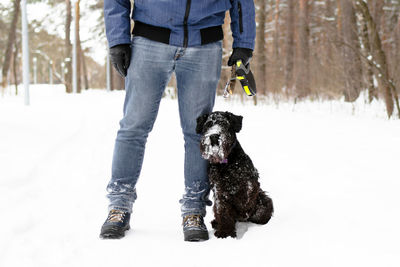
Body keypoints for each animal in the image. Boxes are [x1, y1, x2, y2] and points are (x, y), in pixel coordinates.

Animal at [197, 111, 276, 239]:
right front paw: (225, 232)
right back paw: (217, 223)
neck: (226, 163)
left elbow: (244, 198)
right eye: (208, 125)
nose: (214, 136)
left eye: (224, 123)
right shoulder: (219, 190)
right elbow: (222, 211)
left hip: (263, 200)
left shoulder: (249, 185)